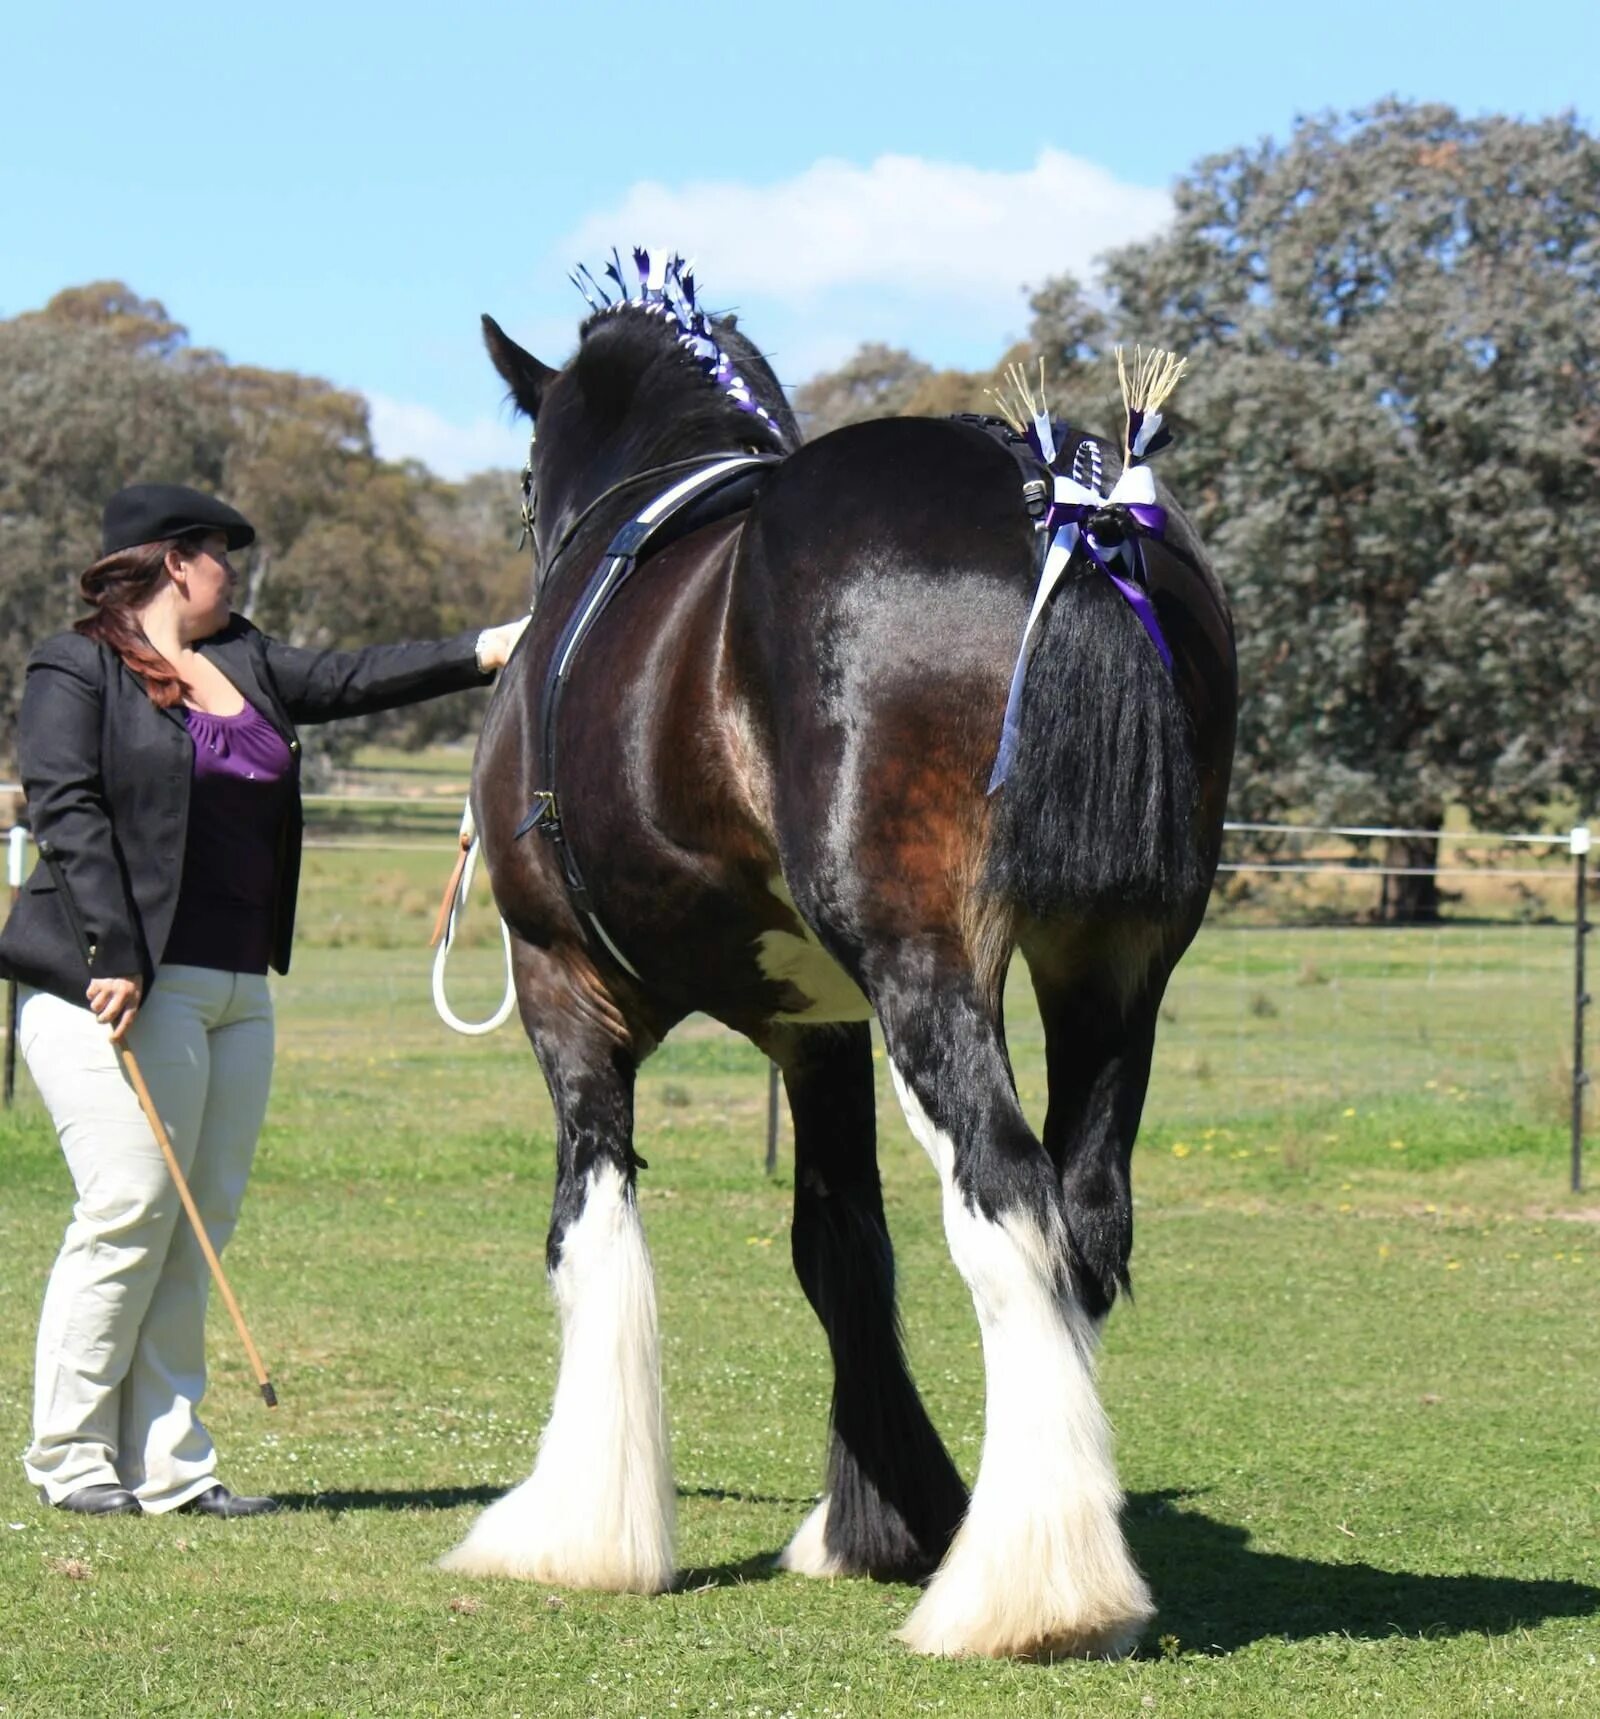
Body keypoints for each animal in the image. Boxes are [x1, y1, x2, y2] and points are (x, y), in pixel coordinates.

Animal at [438, 257, 1237, 1663]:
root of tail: (1067, 512)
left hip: (931, 971)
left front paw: (577, 1529)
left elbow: (591, 1226)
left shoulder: (561, 986)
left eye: (527, 480)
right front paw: (889, 1515)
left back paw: (1027, 1592)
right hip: (1115, 970)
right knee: (1084, 1212)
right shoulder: (819, 1028)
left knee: (1006, 1195)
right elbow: (839, 1242)